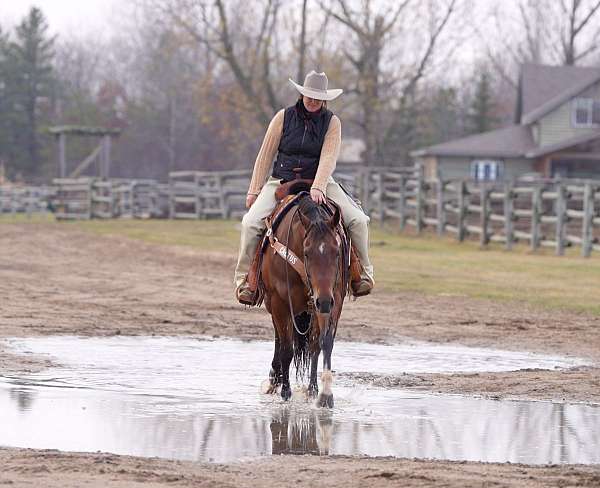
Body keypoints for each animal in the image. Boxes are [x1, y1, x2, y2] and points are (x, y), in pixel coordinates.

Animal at [262, 189, 350, 410]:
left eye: (337, 252)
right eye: (307, 253)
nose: (324, 301)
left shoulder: (333, 300)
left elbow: (322, 343)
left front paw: (322, 394)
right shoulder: (280, 303)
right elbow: (286, 349)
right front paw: (285, 392)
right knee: (280, 339)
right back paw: (275, 379)